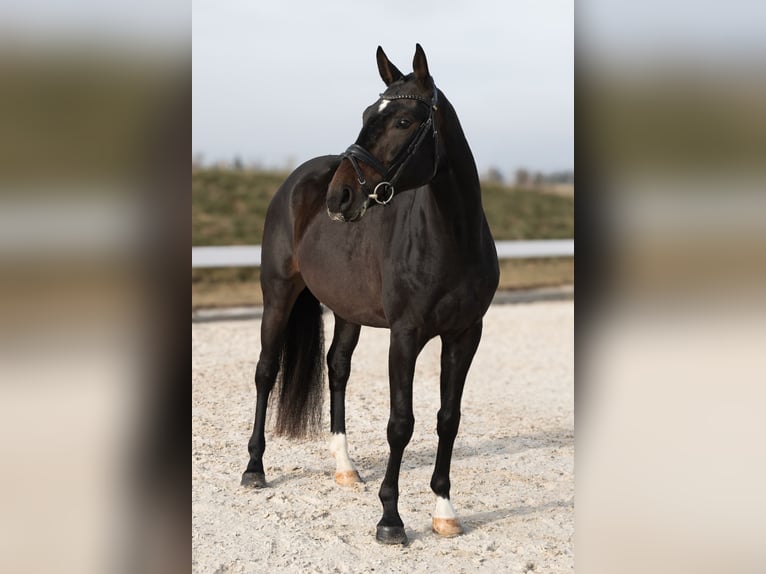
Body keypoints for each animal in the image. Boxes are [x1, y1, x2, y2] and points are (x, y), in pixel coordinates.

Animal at [241, 44, 499, 545]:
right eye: (365, 114)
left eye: (402, 121)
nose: (340, 196)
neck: (452, 238)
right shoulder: (406, 335)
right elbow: (401, 424)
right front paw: (391, 519)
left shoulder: (464, 335)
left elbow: (448, 418)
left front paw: (444, 511)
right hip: (277, 295)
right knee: (265, 372)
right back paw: (254, 469)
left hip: (347, 311)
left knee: (336, 369)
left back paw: (345, 468)